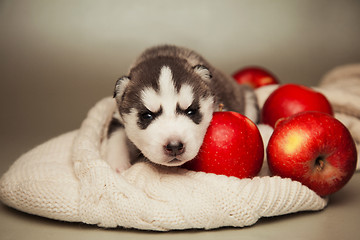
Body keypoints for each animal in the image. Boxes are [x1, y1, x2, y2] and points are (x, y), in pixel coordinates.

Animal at [107, 45, 258, 172]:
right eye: (147, 116)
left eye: (191, 111)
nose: (174, 146)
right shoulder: (117, 117)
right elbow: (115, 136)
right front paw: (118, 166)